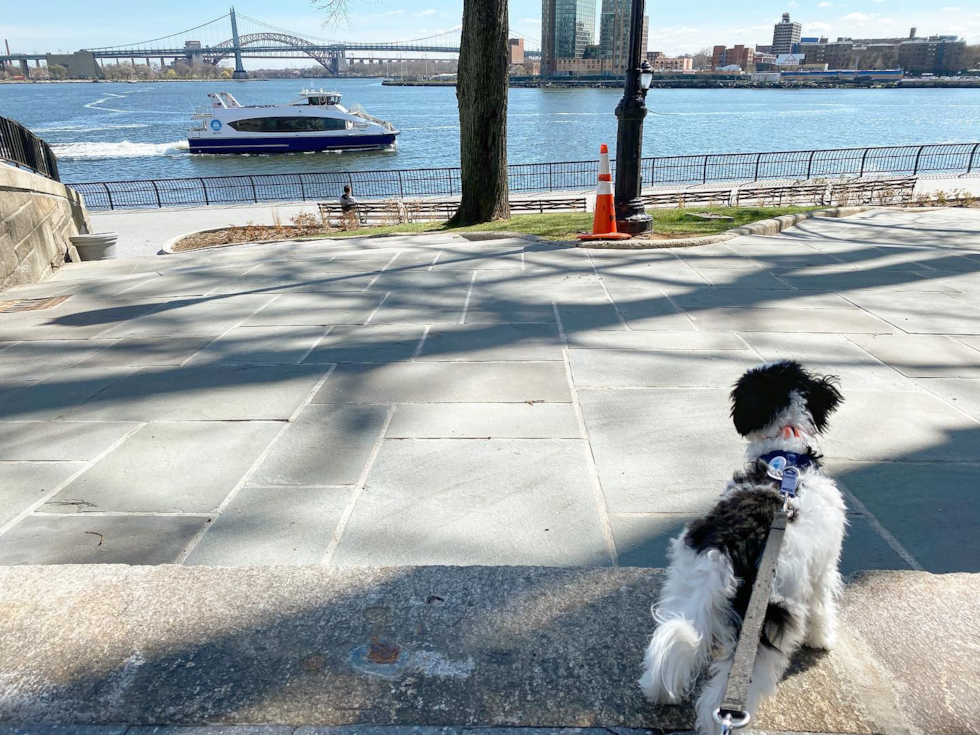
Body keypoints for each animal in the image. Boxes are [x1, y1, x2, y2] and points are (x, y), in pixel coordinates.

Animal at [640, 362, 848, 735]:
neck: (786, 459)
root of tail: (727, 547)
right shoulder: (823, 568)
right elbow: (822, 606)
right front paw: (821, 638)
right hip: (764, 624)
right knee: (723, 694)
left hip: (685, 585)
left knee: (672, 638)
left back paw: (659, 690)